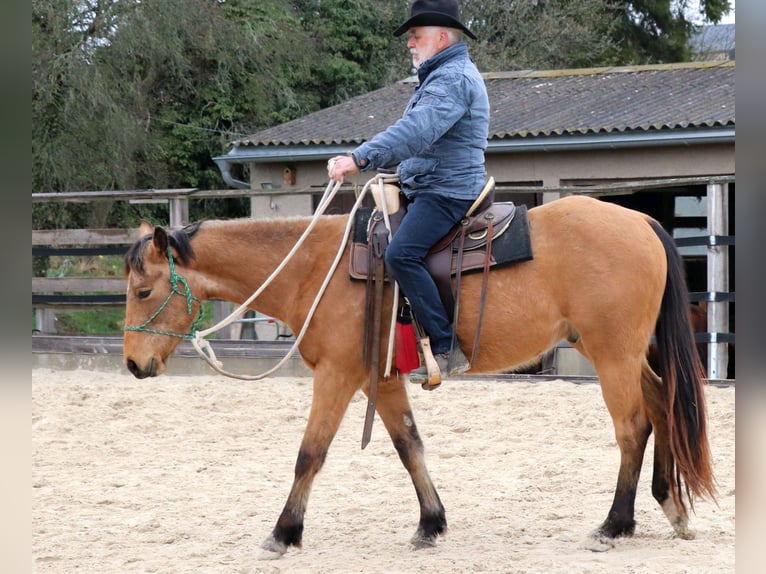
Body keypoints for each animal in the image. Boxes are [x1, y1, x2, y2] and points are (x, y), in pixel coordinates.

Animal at [122, 193, 715, 557]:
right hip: (620, 353)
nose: (132, 364)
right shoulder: (379, 381)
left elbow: (310, 453)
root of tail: (639, 221)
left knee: (633, 428)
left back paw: (614, 523)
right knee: (663, 407)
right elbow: (410, 445)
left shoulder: (337, 376)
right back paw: (671, 506)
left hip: (613, 355)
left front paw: (284, 532)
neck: (315, 268)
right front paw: (431, 523)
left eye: (144, 290)